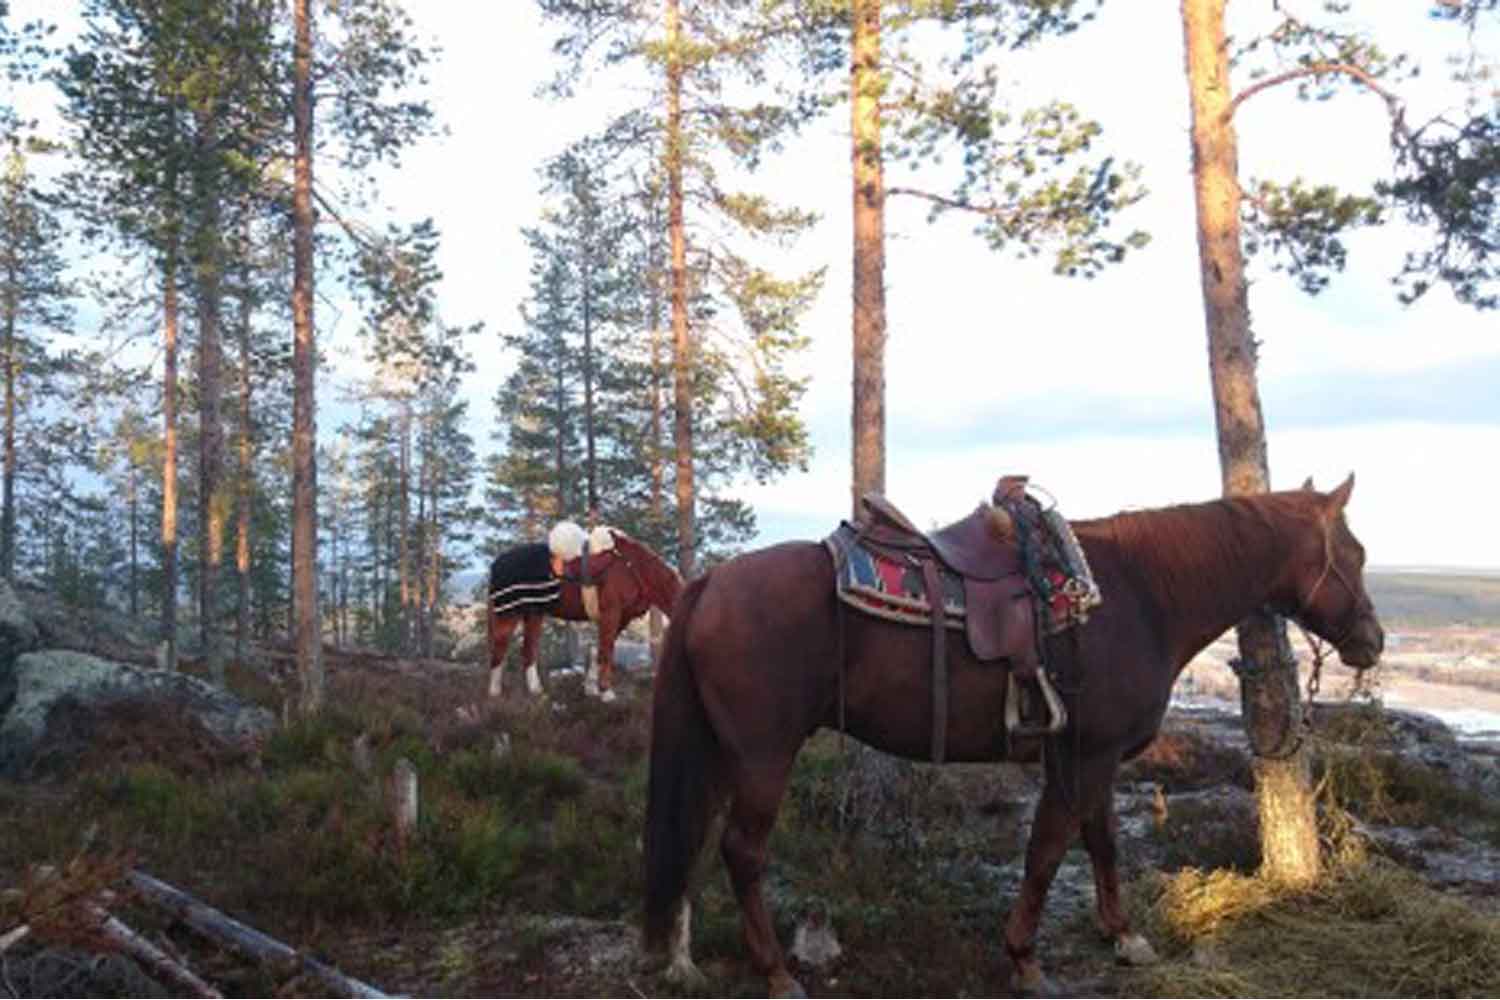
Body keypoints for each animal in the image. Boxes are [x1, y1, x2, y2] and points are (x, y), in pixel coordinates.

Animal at [486, 529, 681, 702]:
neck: (632, 568)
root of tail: (498, 563)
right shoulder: (611, 613)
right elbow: (606, 650)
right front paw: (606, 692)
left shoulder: (622, 618)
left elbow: (599, 650)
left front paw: (591, 688)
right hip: (508, 614)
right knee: (499, 649)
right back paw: (494, 693)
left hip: (534, 614)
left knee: (528, 650)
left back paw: (536, 690)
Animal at [642, 475, 1384, 996]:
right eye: (1353, 553)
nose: (1372, 642)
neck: (1142, 595)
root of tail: (710, 581)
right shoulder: (1082, 756)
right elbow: (1047, 853)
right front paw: (1025, 959)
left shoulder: (1095, 759)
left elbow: (1102, 843)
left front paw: (1124, 936)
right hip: (763, 755)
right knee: (742, 851)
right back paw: (775, 973)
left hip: (724, 753)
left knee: (695, 840)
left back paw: (682, 959)